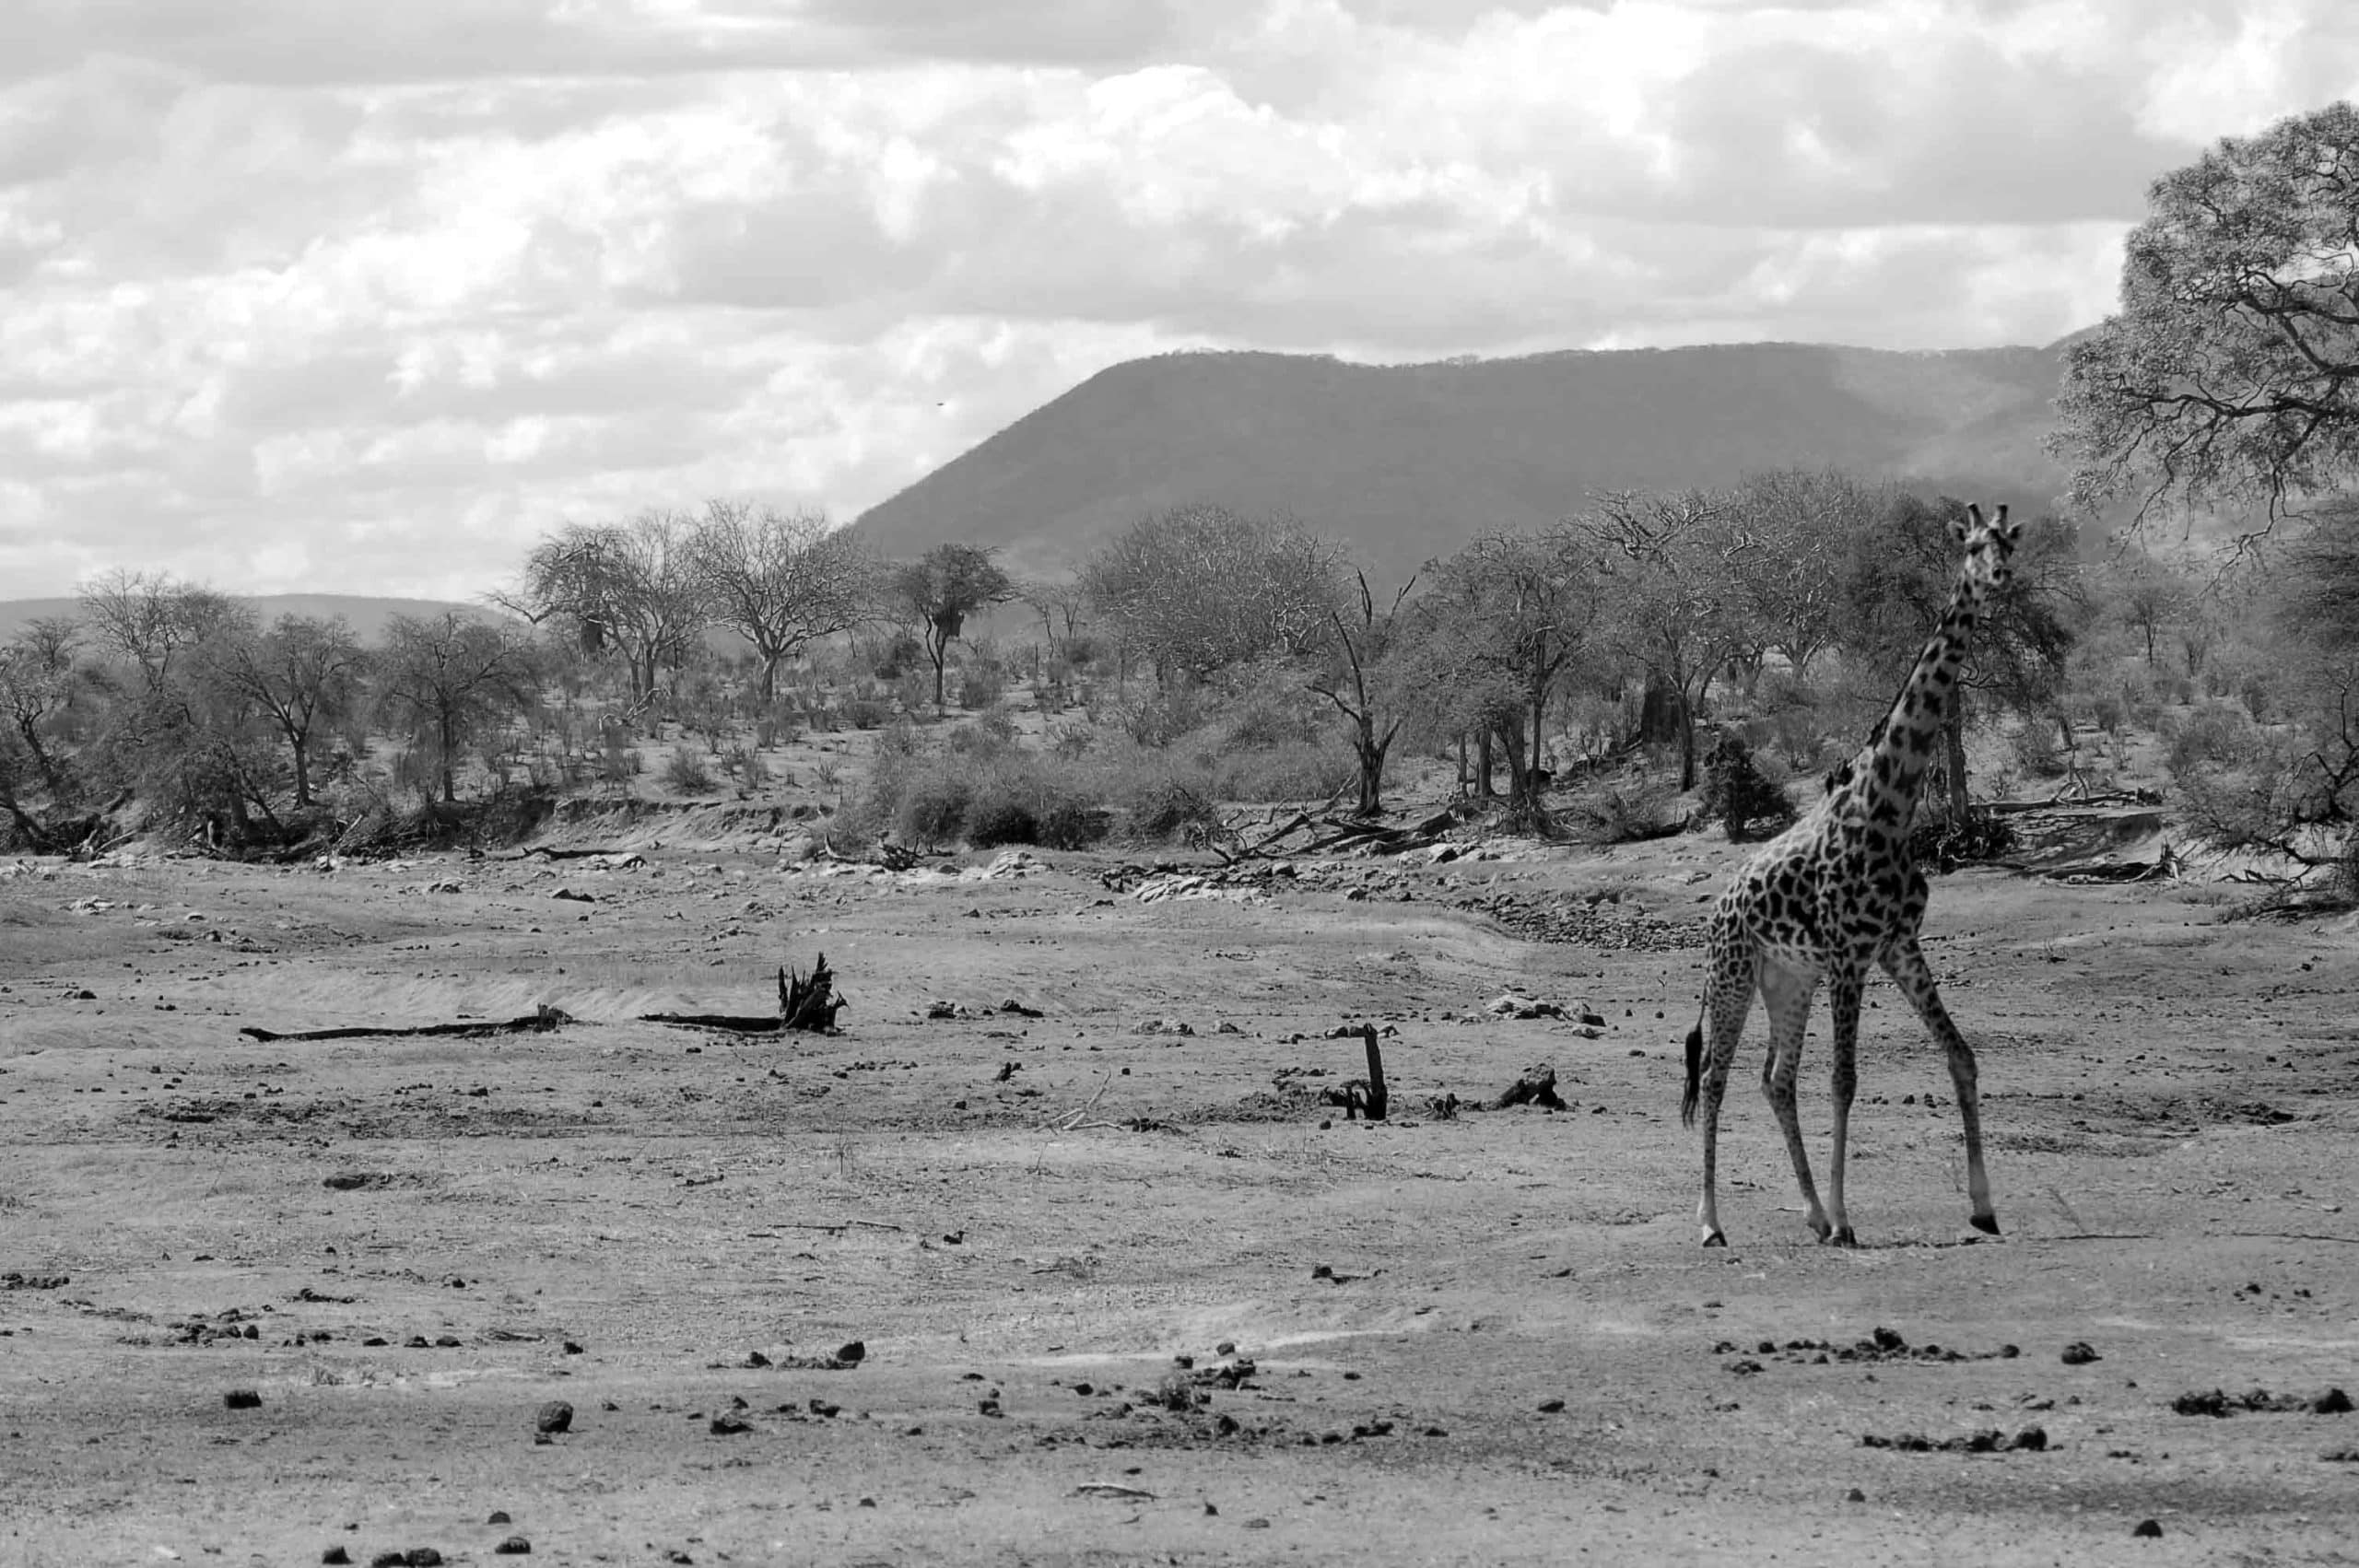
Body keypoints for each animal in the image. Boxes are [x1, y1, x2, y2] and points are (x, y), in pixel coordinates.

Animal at [1679, 502, 2028, 1245]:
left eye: (2008, 545)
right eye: (1971, 547)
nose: (1999, 577)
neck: (1889, 807)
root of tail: (1719, 905)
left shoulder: (1898, 945)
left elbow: (1961, 1055)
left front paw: (1983, 1207)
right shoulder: (1849, 954)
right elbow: (1845, 1080)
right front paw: (1846, 1220)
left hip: (1788, 980)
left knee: (1775, 1078)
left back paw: (1810, 1212)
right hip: (1733, 974)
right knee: (1717, 1078)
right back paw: (1714, 1222)